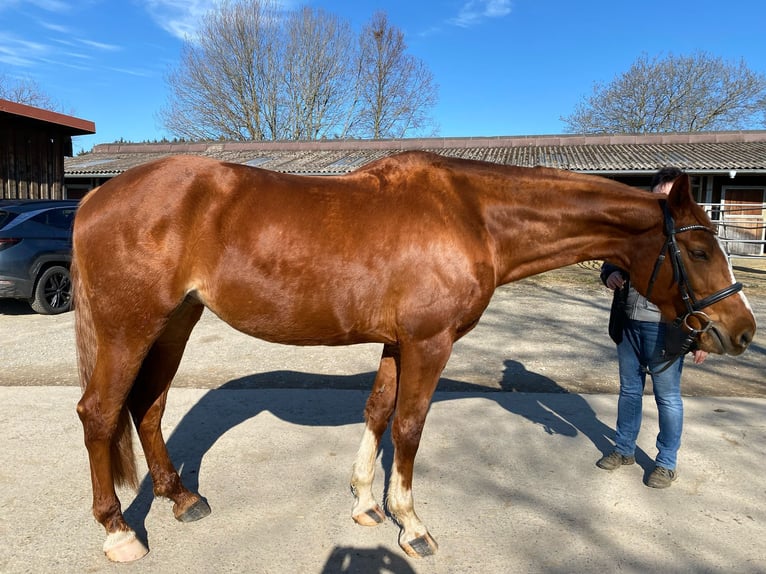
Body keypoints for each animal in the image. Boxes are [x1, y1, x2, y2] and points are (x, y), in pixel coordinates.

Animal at [72, 151, 756, 564]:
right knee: (101, 413)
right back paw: (119, 532)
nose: (742, 330)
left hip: (175, 323)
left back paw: (181, 499)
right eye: (699, 251)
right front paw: (413, 524)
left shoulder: (398, 343)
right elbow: (409, 426)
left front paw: (366, 505)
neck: (472, 215)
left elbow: (377, 413)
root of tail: (94, 199)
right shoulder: (429, 343)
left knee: (148, 406)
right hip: (131, 327)